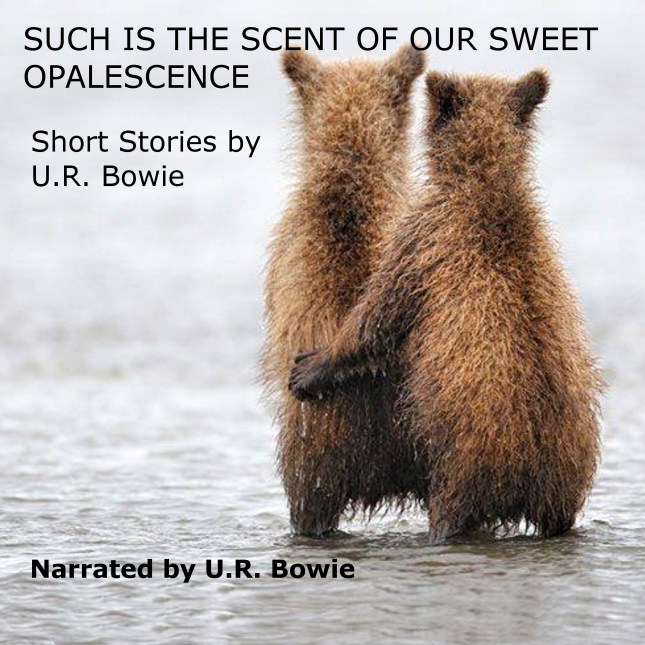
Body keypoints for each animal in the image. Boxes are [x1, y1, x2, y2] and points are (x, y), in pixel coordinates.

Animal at [289, 70, 602, 541]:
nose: (302, 368)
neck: (484, 181)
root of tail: (535, 468)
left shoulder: (422, 239)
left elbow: (378, 318)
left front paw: (310, 366)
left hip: (465, 462)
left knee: (450, 512)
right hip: (565, 476)